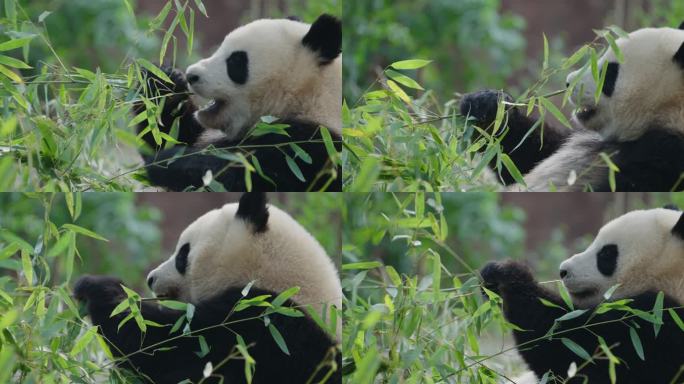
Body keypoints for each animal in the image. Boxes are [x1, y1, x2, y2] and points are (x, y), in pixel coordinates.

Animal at [135, 14, 342, 192]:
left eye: (236, 61)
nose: (191, 75)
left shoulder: (311, 151)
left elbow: (240, 175)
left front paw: (165, 162)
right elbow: (169, 135)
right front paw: (162, 82)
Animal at [478, 207, 684, 380]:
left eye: (606, 254)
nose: (563, 271)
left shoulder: (655, 331)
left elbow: (570, 351)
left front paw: (508, 276)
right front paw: (490, 277)